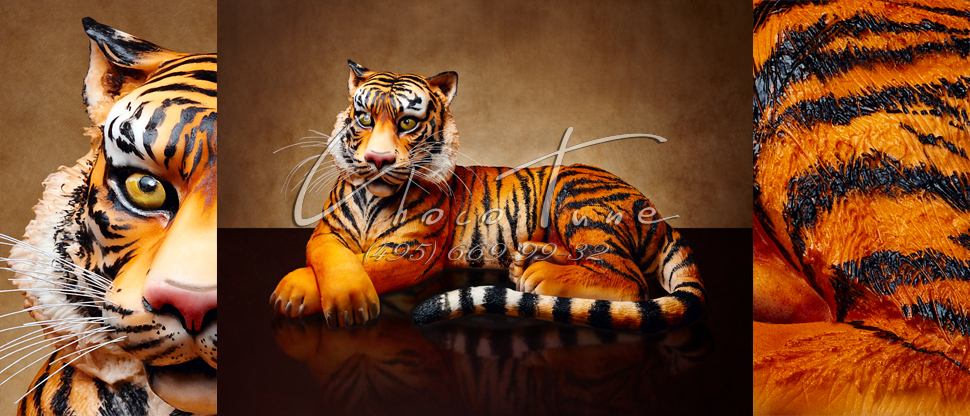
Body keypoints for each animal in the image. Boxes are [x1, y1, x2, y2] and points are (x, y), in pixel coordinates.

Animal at [270, 60, 706, 333]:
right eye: (363, 118)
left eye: (407, 122)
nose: (379, 159)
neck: (371, 198)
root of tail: (652, 207)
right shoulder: (326, 232)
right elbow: (332, 258)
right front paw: (316, 292)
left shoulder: (410, 252)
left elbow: (365, 269)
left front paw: (310, 293)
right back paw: (530, 258)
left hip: (576, 194)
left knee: (628, 278)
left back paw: (539, 275)